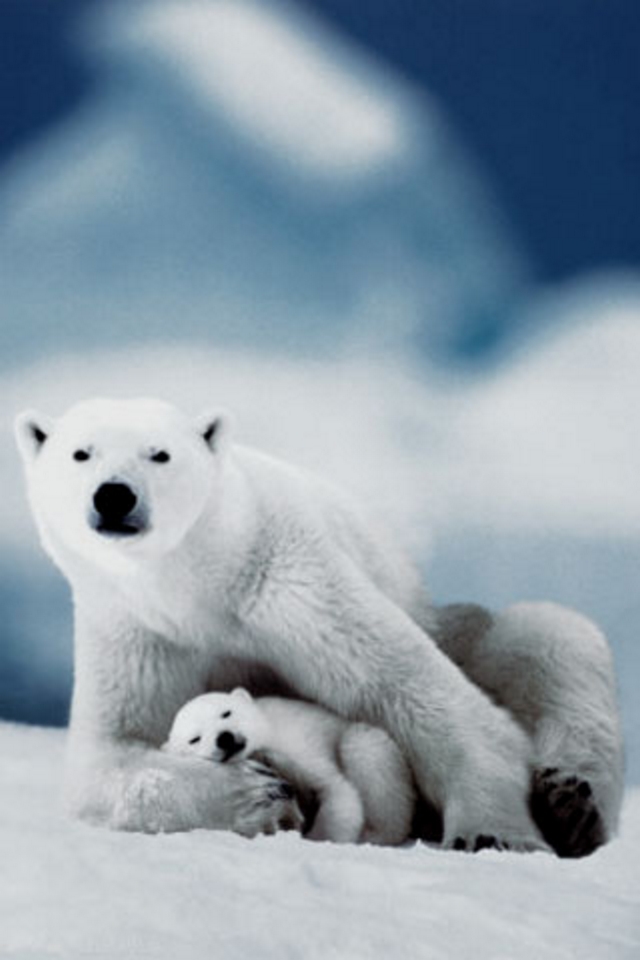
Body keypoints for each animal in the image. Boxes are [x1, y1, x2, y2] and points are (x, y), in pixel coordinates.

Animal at [164, 687, 416, 845]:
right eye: (194, 739)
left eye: (226, 712)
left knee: (363, 747)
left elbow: (336, 790)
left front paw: (321, 837)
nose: (224, 738)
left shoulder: (298, 746)